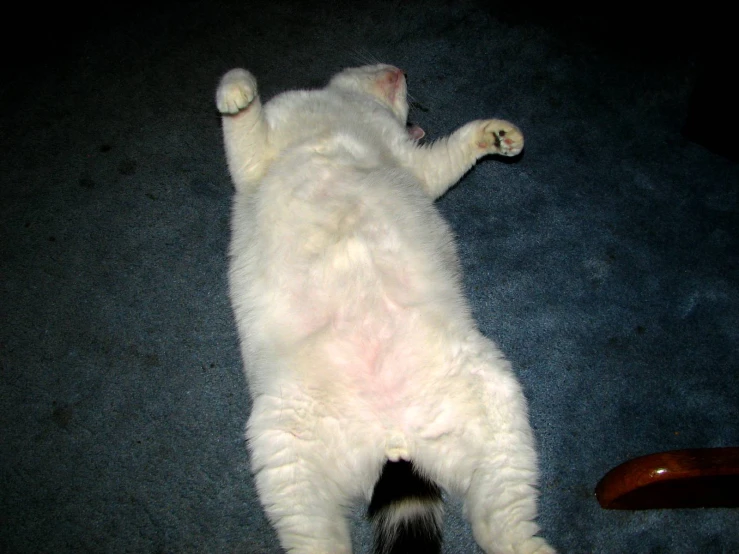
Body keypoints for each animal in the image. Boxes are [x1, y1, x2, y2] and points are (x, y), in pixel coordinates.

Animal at [214, 61, 556, 552]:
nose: (401, 69)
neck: (346, 110)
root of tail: (393, 437)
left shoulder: (414, 166)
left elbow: (450, 151)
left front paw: (495, 134)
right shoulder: (255, 159)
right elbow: (240, 103)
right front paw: (237, 92)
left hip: (497, 405)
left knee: (501, 523)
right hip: (286, 456)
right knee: (322, 542)